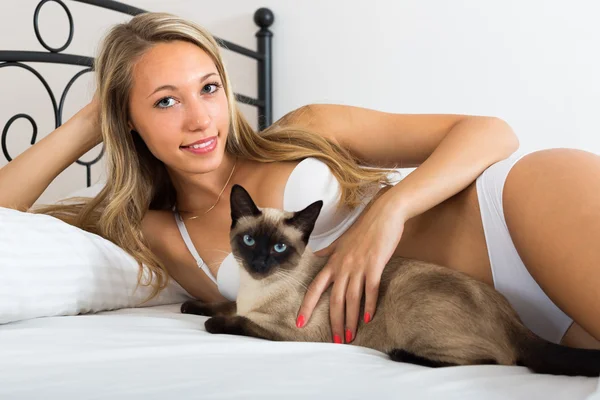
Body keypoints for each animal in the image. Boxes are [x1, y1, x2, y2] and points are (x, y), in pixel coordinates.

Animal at [182, 183, 600, 376]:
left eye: (280, 248)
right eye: (250, 241)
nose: (260, 262)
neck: (256, 289)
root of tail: (520, 323)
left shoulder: (295, 332)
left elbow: (236, 320)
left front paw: (210, 322)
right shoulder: (242, 300)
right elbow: (225, 304)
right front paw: (190, 305)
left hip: (406, 298)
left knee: (497, 361)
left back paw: (400, 354)